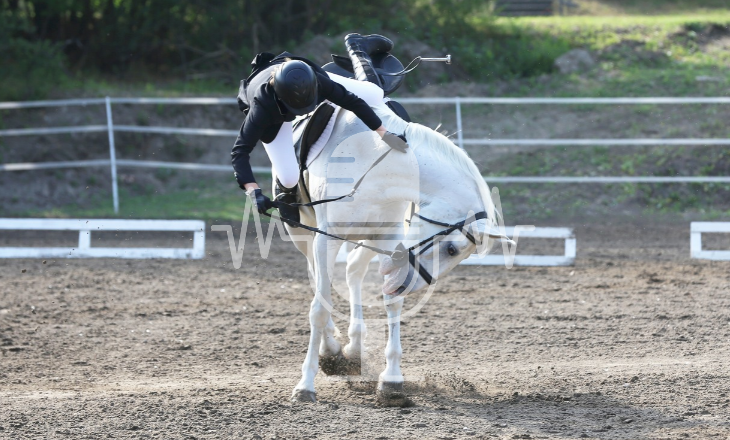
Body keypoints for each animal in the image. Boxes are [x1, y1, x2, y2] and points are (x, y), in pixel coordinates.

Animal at [278, 101, 502, 405]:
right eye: (452, 248)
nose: (406, 285)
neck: (375, 165)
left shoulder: (389, 237)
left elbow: (392, 303)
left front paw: (392, 379)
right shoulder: (325, 239)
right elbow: (319, 307)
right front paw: (306, 384)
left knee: (353, 271)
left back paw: (353, 347)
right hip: (304, 233)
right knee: (317, 279)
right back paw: (331, 348)